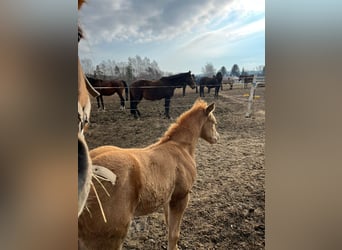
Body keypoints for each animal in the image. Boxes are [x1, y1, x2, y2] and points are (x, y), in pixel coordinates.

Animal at [78, 99, 219, 250]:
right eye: (213, 122)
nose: (217, 138)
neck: (180, 147)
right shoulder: (181, 197)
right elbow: (174, 234)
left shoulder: (169, 199)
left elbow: (169, 226)